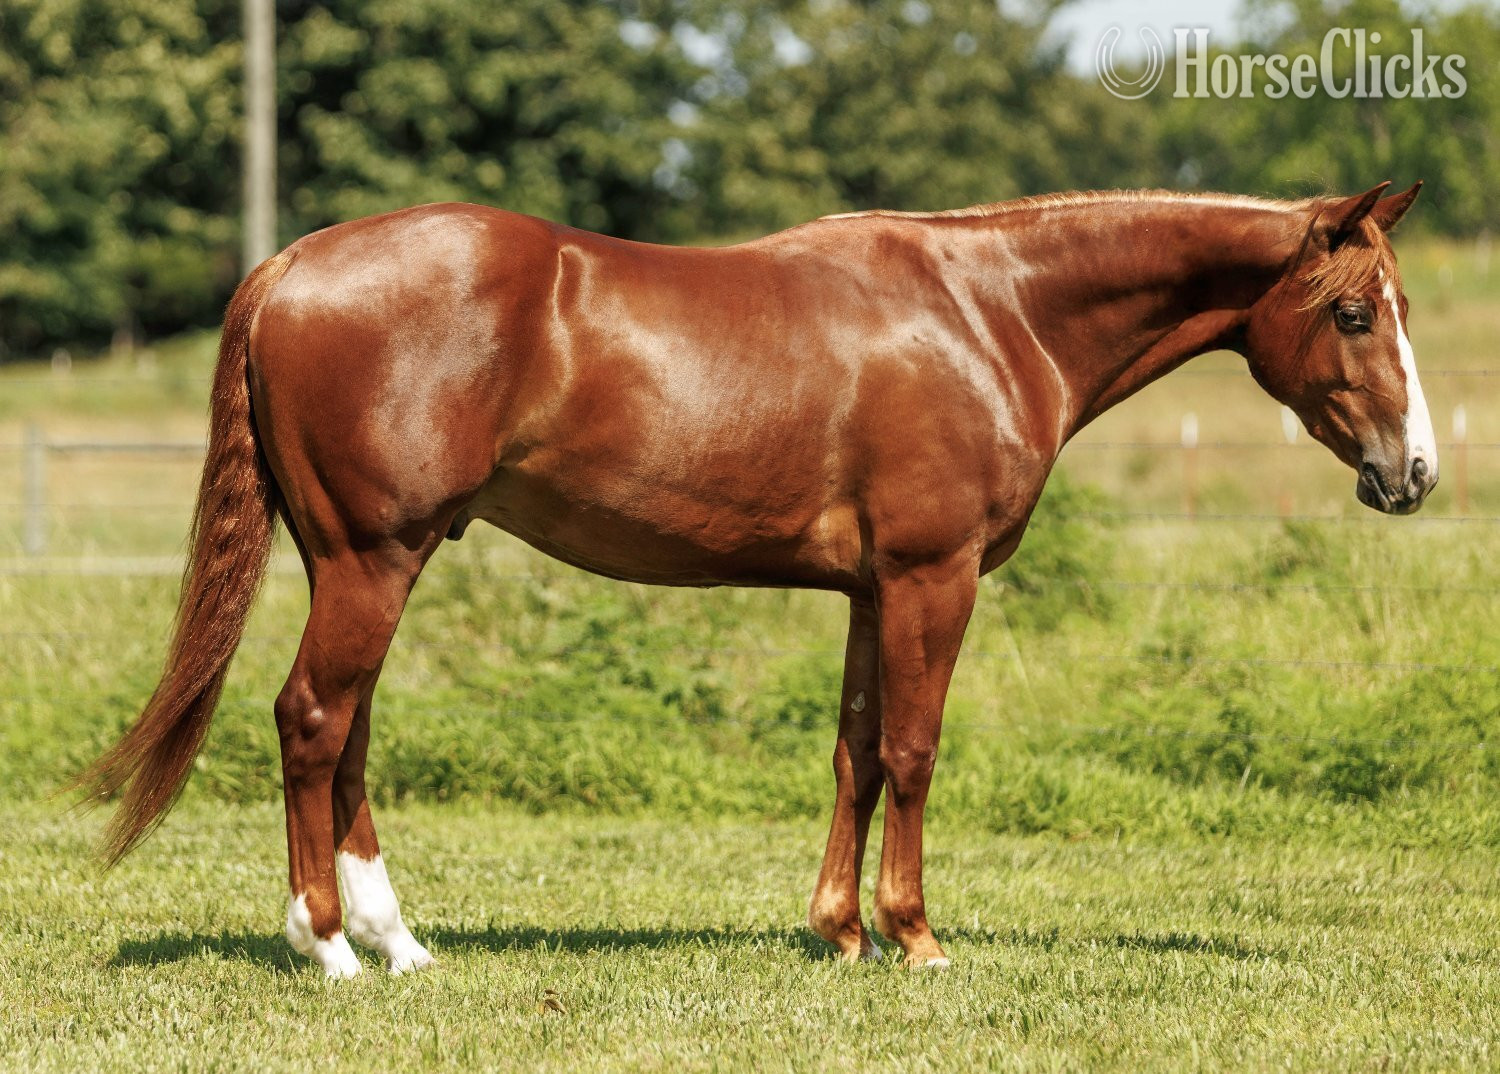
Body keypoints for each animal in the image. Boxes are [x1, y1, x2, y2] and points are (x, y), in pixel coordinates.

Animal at [80, 181, 1434, 976]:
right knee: (313, 720)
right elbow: (914, 754)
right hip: (374, 560)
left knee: (347, 733)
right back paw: (328, 948)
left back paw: (397, 940)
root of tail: (293, 264)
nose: (1412, 472)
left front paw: (839, 933)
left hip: (359, 564)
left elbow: (854, 753)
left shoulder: (873, 591)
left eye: (1399, 303)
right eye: (1356, 312)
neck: (989, 310)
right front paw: (915, 937)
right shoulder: (934, 578)